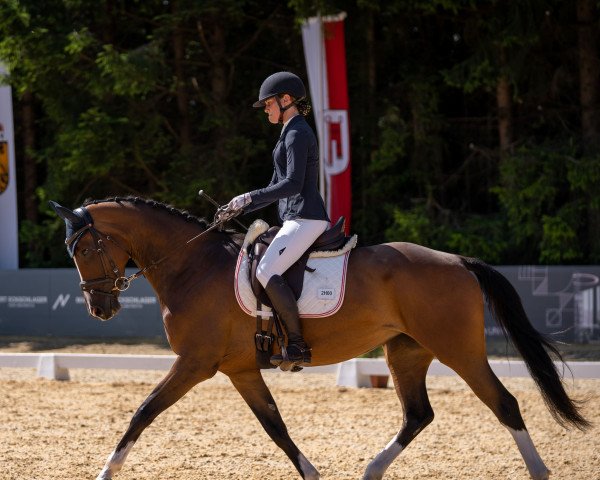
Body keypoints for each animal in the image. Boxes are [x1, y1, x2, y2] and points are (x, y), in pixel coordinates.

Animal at [49, 196, 588, 480]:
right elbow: (276, 427)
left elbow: (142, 413)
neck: (192, 266)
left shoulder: (194, 363)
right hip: (406, 352)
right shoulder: (239, 369)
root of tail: (458, 260)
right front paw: (311, 473)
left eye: (85, 249)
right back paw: (371, 471)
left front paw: (105, 472)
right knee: (418, 414)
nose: (101, 309)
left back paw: (538, 472)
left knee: (505, 405)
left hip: (460, 350)